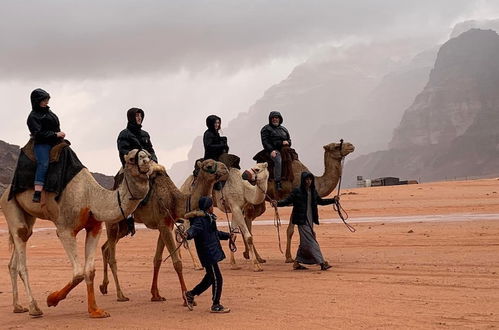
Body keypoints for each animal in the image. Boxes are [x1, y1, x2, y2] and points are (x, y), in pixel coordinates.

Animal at [0, 149, 158, 318]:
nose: (146, 162)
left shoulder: (94, 228)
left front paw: (95, 310)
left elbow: (89, 271)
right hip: (9, 204)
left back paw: (18, 306)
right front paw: (51, 299)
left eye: (148, 155)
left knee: (20, 246)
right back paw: (34, 308)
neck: (91, 198)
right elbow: (78, 273)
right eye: (131, 158)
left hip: (28, 214)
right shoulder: (65, 230)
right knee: (21, 248)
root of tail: (4, 193)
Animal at [98, 159, 230, 302]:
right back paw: (120, 295)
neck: (174, 201)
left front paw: (156, 295)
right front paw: (186, 298)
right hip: (112, 222)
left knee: (105, 248)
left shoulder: (166, 225)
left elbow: (157, 259)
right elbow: (177, 262)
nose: (225, 169)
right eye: (209, 165)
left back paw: (104, 287)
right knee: (112, 258)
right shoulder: (164, 225)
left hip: (124, 227)